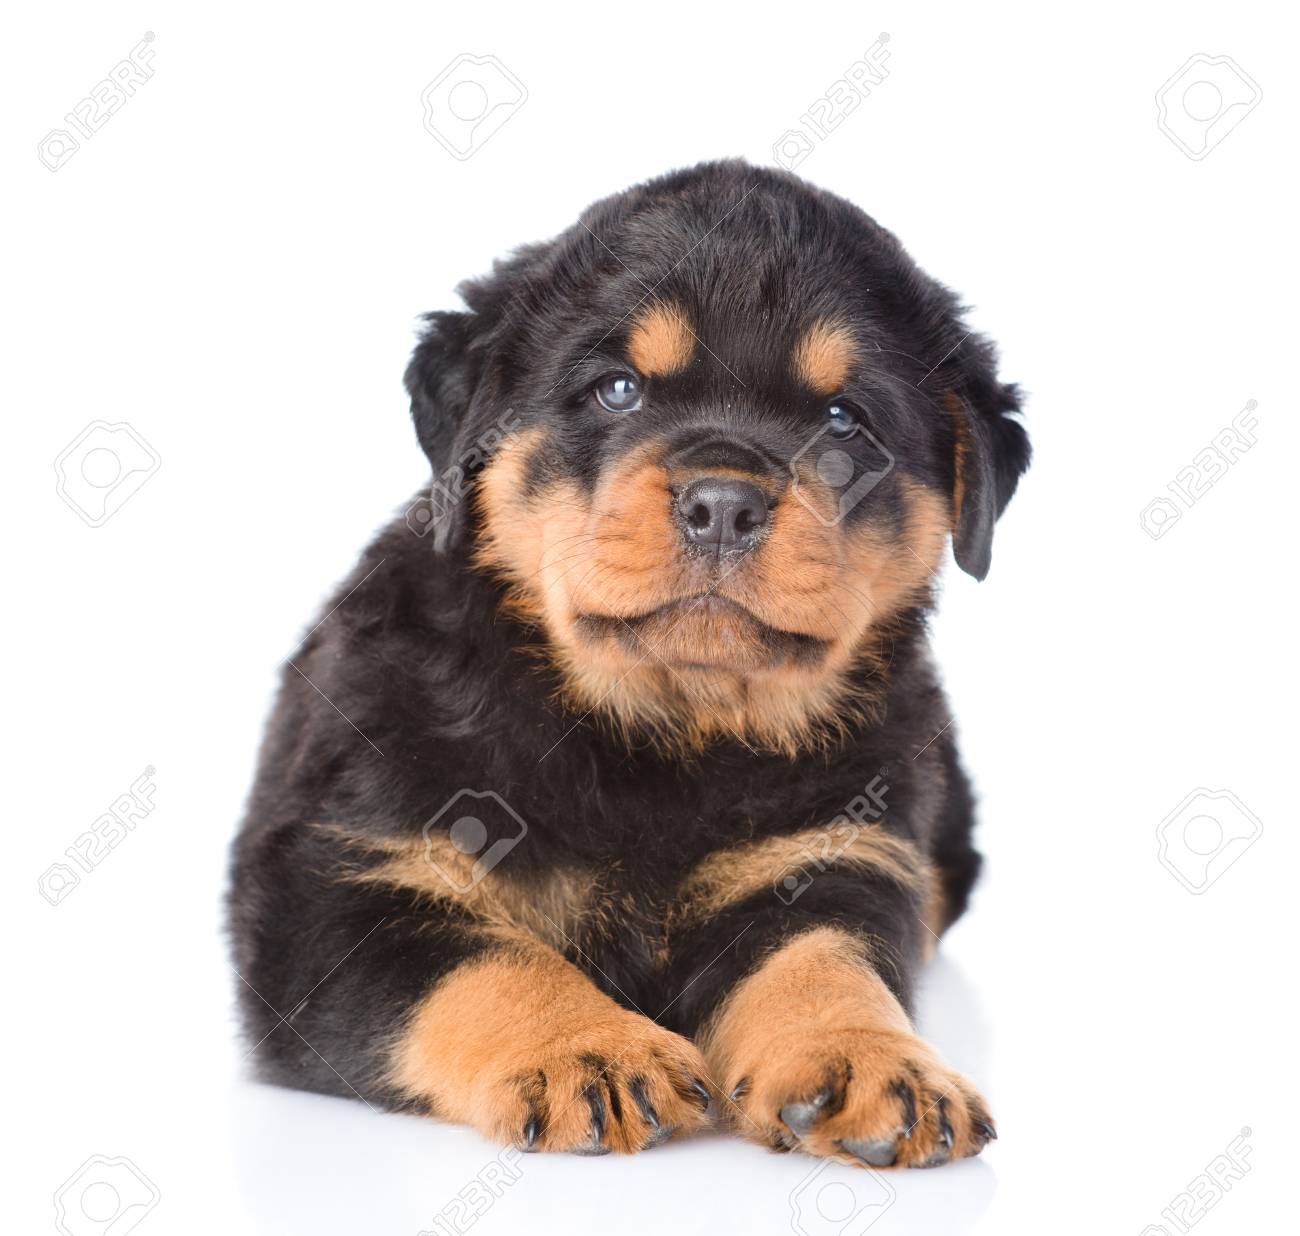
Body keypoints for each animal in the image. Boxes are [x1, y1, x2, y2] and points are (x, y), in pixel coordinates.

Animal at [228, 157, 1029, 1169]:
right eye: (618, 390)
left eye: (845, 421)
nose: (723, 503)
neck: (660, 729)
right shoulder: (336, 883)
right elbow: (480, 959)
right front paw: (588, 1050)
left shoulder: (830, 853)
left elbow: (827, 963)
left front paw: (870, 1061)